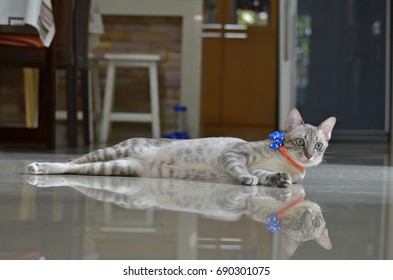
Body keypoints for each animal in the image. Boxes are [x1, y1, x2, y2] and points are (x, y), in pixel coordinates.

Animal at [28, 108, 334, 187]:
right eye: (300, 142)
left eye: (319, 145)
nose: (309, 155)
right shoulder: (235, 155)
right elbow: (242, 170)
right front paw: (246, 179)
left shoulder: (262, 170)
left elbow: (267, 176)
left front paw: (280, 180)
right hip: (111, 152)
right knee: (70, 162)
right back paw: (37, 165)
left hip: (116, 167)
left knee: (76, 169)